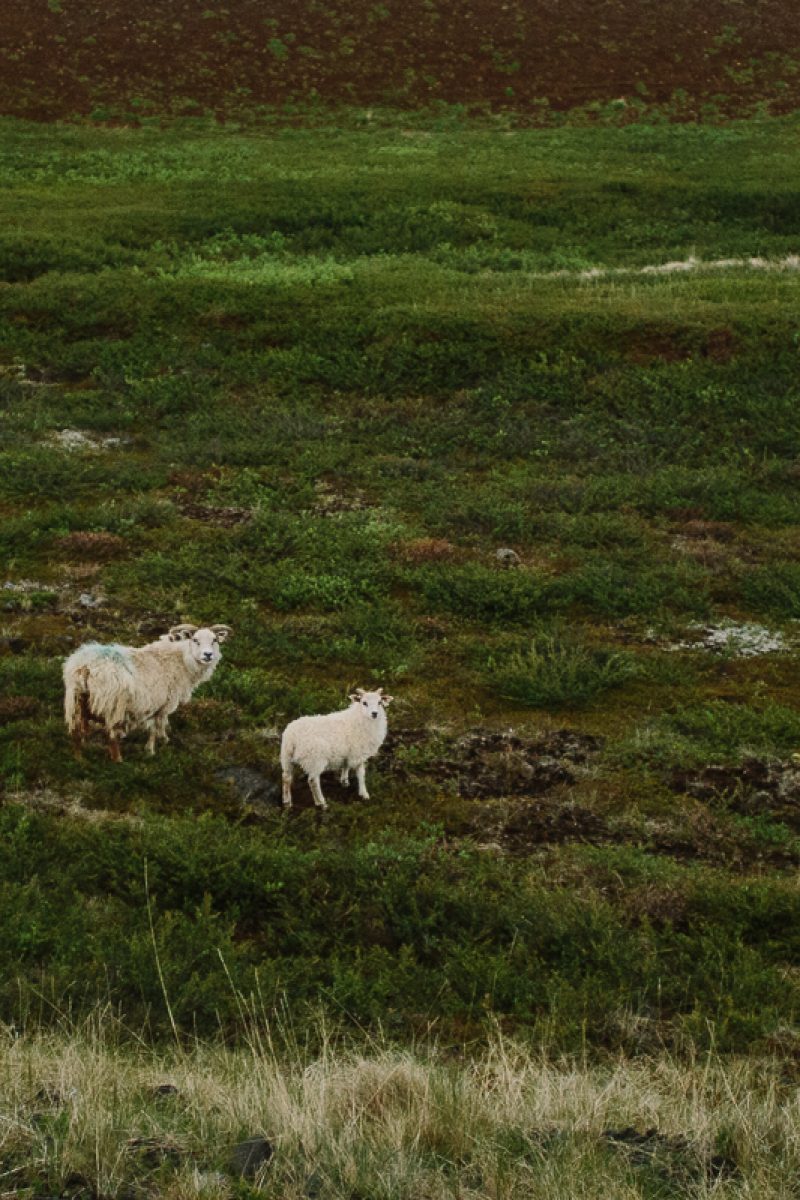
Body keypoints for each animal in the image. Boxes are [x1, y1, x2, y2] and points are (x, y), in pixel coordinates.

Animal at [63, 623, 232, 761]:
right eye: (195, 640)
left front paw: (162, 741)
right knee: (110, 736)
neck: (179, 660)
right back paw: (118, 761)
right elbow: (156, 728)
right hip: (113, 705)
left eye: (214, 640)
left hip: (76, 700)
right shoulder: (162, 705)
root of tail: (87, 667)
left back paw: (80, 758)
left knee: (77, 731)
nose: (208, 655)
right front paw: (153, 749)